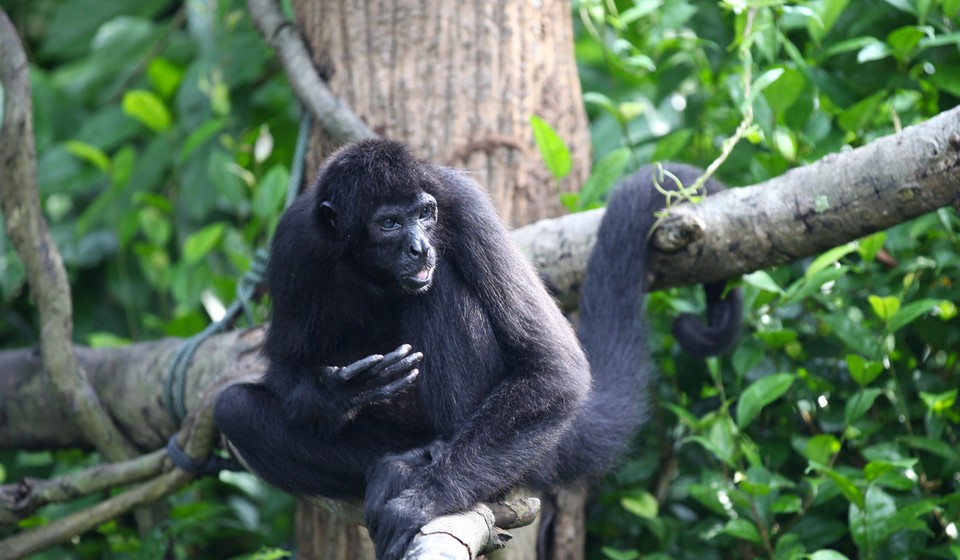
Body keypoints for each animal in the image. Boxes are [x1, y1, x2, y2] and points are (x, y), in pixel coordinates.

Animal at [214, 138, 740, 556]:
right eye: (389, 223)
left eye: (424, 215)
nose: (420, 247)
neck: (370, 272)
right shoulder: (294, 241)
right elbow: (285, 368)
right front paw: (338, 395)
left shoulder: (463, 205)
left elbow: (556, 370)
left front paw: (420, 502)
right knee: (234, 409)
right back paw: (405, 460)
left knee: (441, 286)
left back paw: (429, 466)